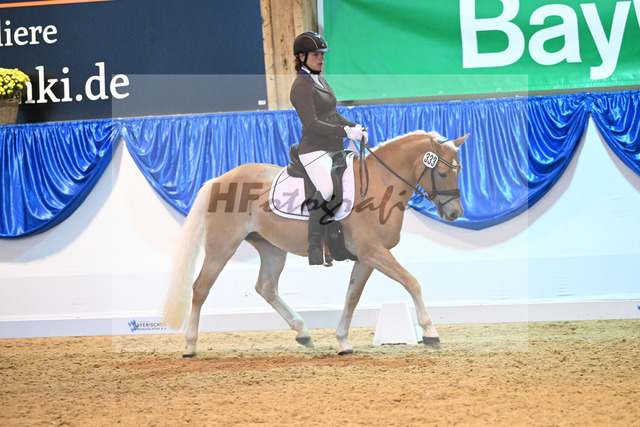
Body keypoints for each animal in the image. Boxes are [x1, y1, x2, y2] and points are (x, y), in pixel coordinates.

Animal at [163, 130, 468, 357]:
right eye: (443, 174)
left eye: (460, 170)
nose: (455, 214)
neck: (380, 184)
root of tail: (219, 179)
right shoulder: (373, 252)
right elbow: (411, 282)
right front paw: (430, 332)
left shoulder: (366, 257)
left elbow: (352, 296)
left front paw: (343, 341)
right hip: (221, 247)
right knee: (200, 289)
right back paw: (190, 345)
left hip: (272, 248)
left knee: (266, 287)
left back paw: (303, 333)